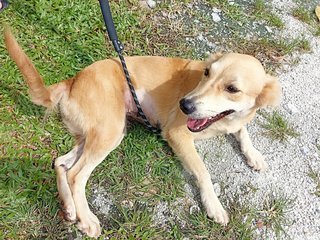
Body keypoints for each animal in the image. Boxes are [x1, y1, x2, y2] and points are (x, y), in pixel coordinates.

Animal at [4, 28, 280, 238]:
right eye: (207, 73)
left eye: (232, 88)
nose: (184, 105)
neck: (223, 121)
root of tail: (72, 80)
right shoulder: (177, 135)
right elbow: (203, 171)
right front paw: (214, 205)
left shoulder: (233, 123)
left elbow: (243, 131)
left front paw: (255, 155)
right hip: (110, 132)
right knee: (76, 174)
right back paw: (86, 218)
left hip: (97, 134)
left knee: (60, 162)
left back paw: (70, 207)